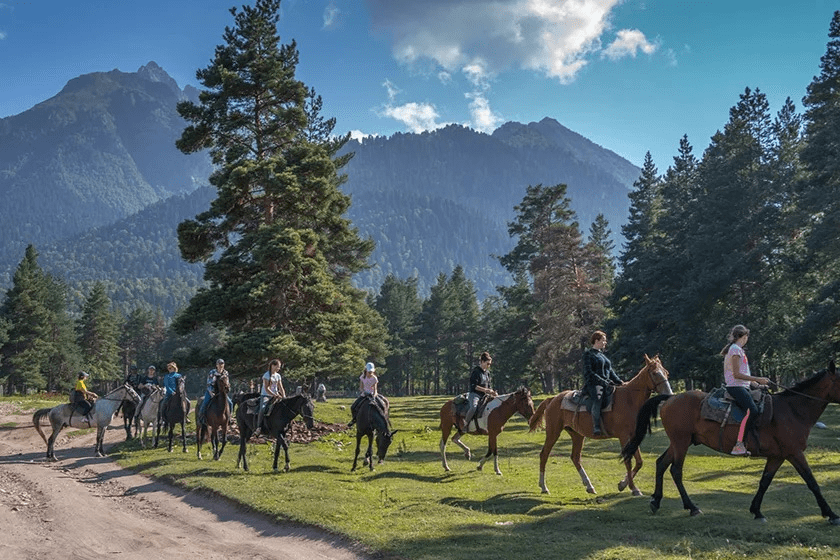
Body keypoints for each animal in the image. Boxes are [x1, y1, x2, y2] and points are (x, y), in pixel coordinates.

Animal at [528, 356, 672, 496]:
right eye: (655, 373)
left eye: (666, 373)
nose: (669, 394)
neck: (629, 399)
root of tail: (552, 399)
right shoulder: (624, 437)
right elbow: (628, 461)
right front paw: (633, 488)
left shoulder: (633, 437)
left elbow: (639, 462)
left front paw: (622, 484)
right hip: (553, 432)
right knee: (544, 455)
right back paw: (544, 487)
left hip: (577, 435)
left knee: (575, 458)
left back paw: (589, 486)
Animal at [616, 360, 840, 524]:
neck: (792, 411)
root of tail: (670, 398)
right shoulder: (794, 453)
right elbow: (812, 482)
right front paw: (831, 514)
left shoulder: (778, 456)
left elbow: (764, 482)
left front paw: (757, 511)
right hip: (681, 442)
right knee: (675, 470)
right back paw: (692, 507)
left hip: (680, 442)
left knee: (661, 463)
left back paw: (656, 501)